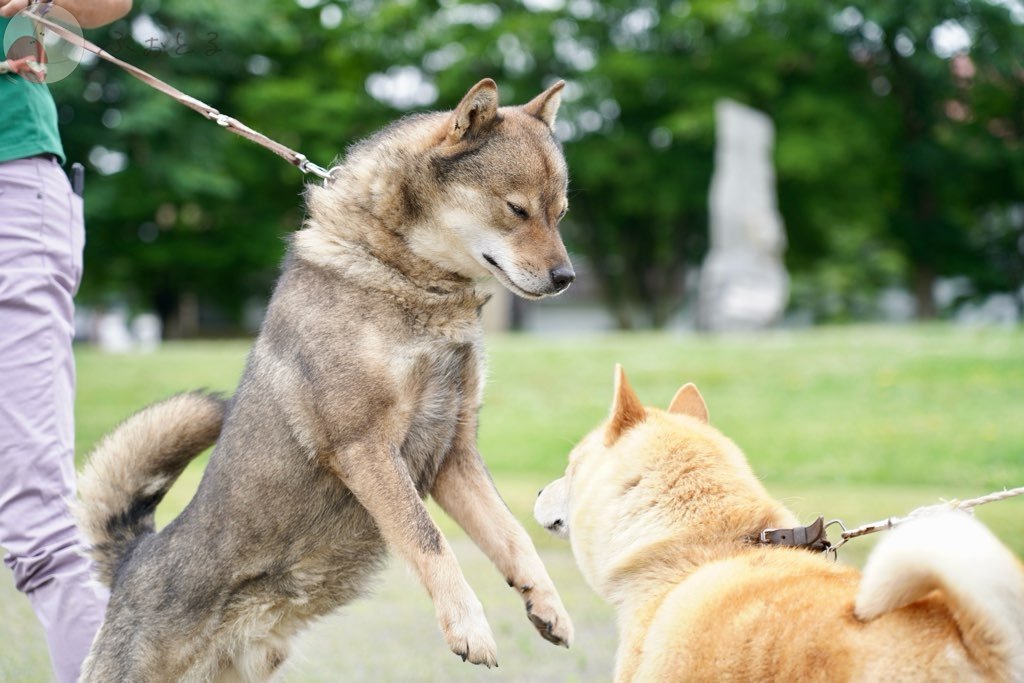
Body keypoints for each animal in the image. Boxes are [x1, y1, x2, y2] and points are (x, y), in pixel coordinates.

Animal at [77, 78, 577, 679]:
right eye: (516, 209)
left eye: (560, 213)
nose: (567, 277)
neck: (407, 280)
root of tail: (133, 559)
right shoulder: (365, 447)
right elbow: (429, 540)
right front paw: (469, 627)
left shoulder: (454, 458)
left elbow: (513, 537)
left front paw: (546, 603)